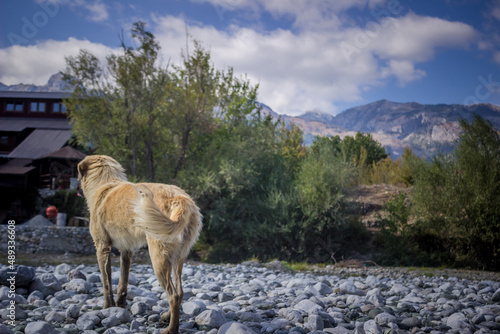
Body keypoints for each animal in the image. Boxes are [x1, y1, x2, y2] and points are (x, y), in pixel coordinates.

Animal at [77, 156, 202, 334]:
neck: (106, 183)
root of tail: (179, 198)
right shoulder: (126, 250)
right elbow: (122, 281)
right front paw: (119, 305)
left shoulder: (102, 248)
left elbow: (106, 282)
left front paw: (107, 307)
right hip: (178, 259)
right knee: (180, 292)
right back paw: (167, 317)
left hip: (158, 259)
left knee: (173, 295)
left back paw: (171, 329)